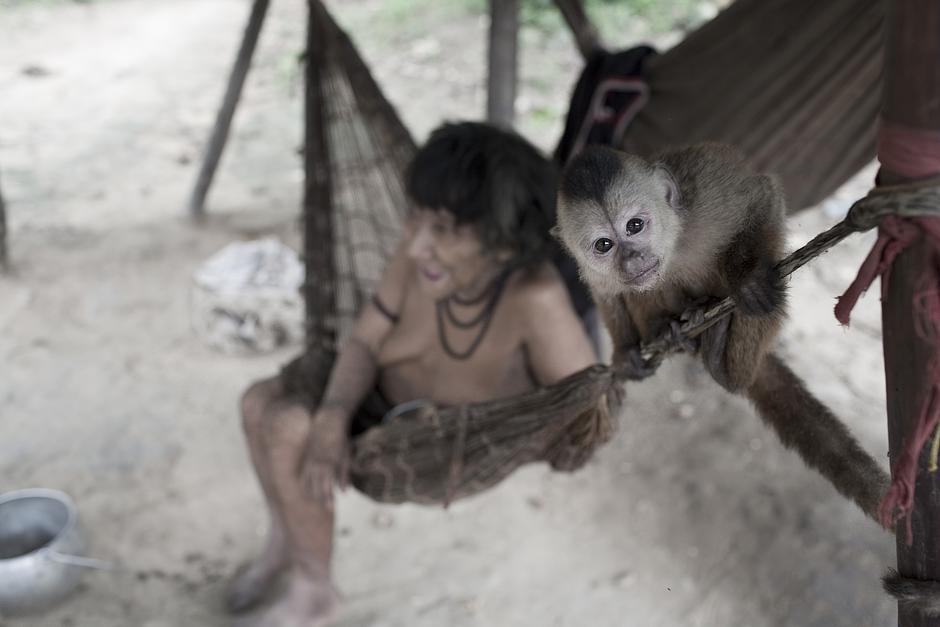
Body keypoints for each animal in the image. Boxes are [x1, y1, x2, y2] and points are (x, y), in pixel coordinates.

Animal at [556, 145, 892, 524]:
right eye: (604, 245)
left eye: (635, 225)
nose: (633, 258)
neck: (673, 241)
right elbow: (606, 291)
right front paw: (624, 353)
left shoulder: (706, 199)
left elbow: (762, 198)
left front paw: (747, 279)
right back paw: (675, 333)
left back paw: (731, 372)